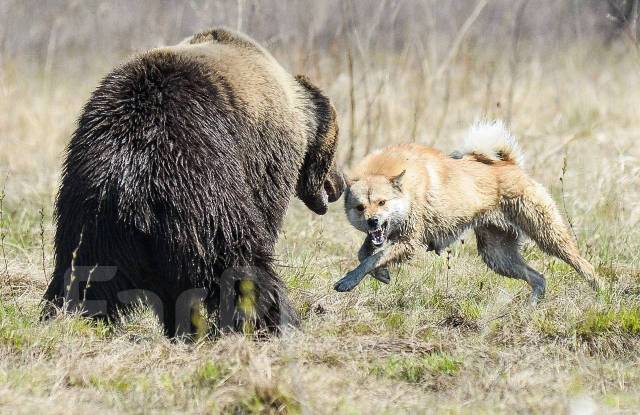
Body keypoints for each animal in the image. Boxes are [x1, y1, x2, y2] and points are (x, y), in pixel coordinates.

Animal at [42, 27, 344, 338]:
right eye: (336, 148)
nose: (339, 184)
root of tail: (133, 174)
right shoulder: (267, 158)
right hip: (202, 188)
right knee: (238, 259)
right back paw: (274, 321)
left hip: (92, 214)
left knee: (84, 275)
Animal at [336, 120, 604, 302]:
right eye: (360, 207)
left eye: (382, 202)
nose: (372, 221)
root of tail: (509, 164)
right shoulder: (385, 237)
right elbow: (365, 254)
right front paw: (381, 275)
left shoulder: (409, 241)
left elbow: (372, 258)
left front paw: (348, 281)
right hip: (497, 255)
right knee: (539, 278)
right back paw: (530, 308)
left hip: (546, 235)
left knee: (584, 266)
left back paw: (601, 293)